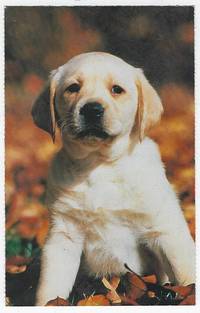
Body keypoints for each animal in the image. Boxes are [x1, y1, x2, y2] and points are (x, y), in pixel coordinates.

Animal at [32, 51, 195, 304]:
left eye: (117, 89)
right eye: (73, 88)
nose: (92, 109)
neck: (100, 165)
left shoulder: (166, 229)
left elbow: (186, 274)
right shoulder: (64, 234)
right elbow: (50, 287)